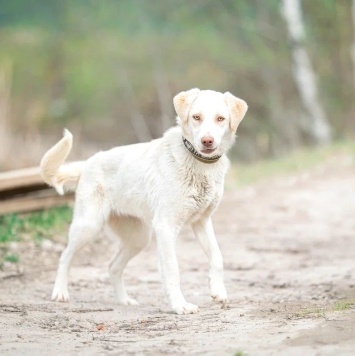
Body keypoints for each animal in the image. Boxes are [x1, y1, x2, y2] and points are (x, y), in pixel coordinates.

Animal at [40, 88, 249, 314]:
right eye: (196, 117)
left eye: (220, 119)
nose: (207, 141)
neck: (198, 163)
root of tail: (87, 163)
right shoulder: (166, 226)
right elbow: (172, 269)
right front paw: (180, 305)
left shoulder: (201, 222)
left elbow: (217, 257)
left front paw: (218, 292)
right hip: (88, 226)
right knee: (65, 256)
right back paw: (60, 292)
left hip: (139, 238)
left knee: (113, 266)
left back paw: (124, 300)